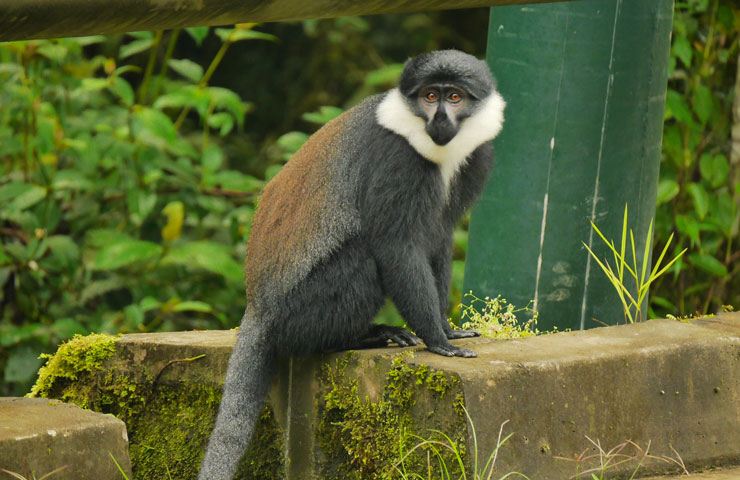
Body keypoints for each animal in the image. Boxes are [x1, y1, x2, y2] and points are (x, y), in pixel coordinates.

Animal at [199, 49, 506, 480]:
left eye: (455, 97)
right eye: (430, 96)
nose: (440, 120)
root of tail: (257, 309)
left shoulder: (474, 162)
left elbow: (438, 239)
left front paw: (448, 329)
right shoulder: (396, 161)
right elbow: (396, 246)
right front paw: (438, 340)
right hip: (296, 314)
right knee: (362, 257)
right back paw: (361, 337)